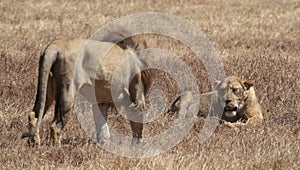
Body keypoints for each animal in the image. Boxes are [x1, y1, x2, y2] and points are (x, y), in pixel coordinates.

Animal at [21, 36, 152, 146]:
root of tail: (53, 48)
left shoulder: (100, 101)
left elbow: (102, 127)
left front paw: (103, 146)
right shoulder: (137, 93)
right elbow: (138, 121)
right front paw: (137, 146)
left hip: (47, 88)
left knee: (33, 115)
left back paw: (34, 143)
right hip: (68, 89)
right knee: (55, 126)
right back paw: (56, 148)